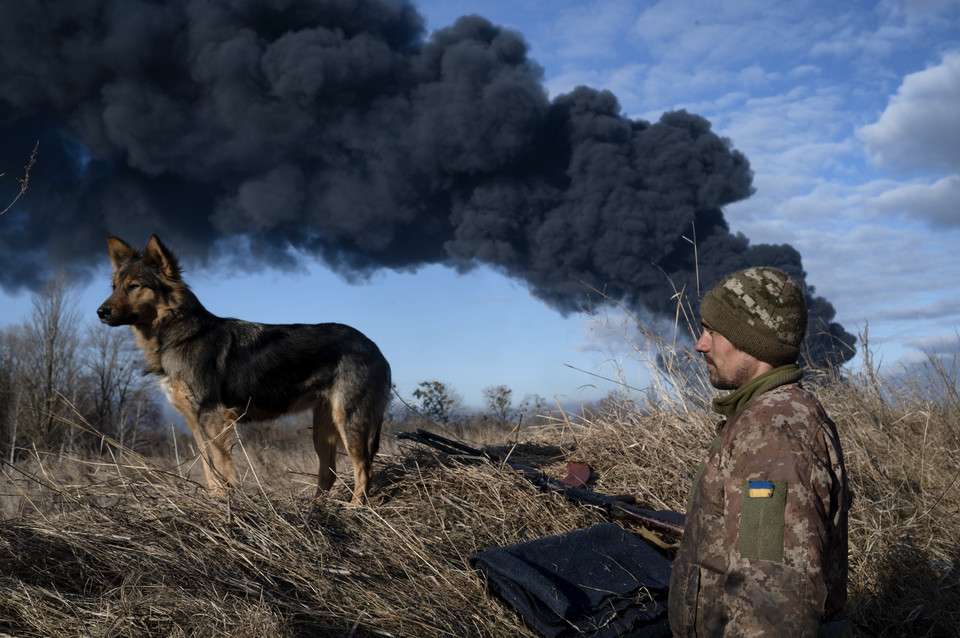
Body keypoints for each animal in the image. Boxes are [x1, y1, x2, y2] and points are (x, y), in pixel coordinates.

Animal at [97, 235, 394, 504]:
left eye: (134, 286)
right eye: (113, 286)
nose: (101, 312)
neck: (181, 332)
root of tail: (374, 348)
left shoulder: (214, 419)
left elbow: (221, 473)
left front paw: (225, 506)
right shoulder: (197, 424)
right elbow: (209, 472)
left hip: (349, 420)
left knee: (364, 470)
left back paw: (354, 510)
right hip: (324, 427)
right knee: (329, 472)